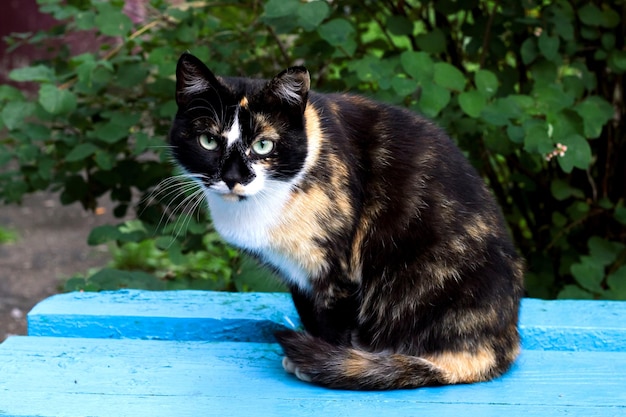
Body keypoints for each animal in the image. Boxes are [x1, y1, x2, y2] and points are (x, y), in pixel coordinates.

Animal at [168, 52, 524, 390]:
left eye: (263, 145)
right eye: (208, 141)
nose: (232, 178)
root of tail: (503, 342)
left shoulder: (338, 272)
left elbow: (335, 326)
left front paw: (324, 362)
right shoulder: (299, 276)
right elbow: (311, 316)